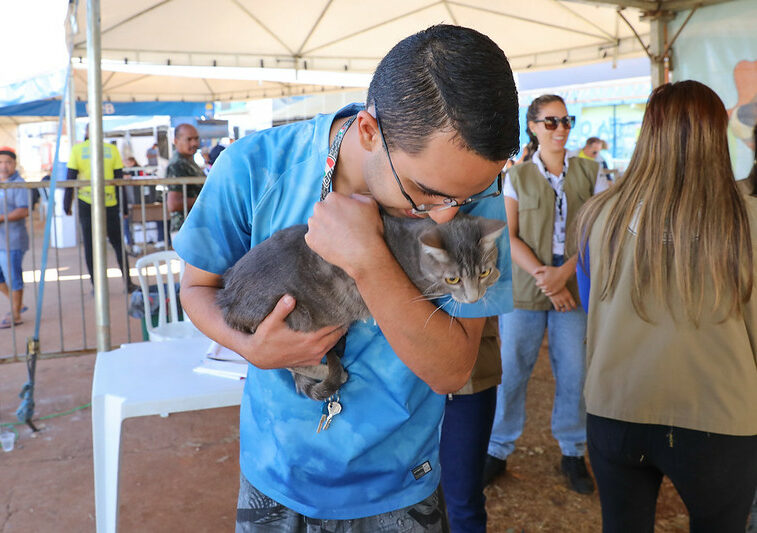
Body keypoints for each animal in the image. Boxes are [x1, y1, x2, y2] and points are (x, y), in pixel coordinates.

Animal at [216, 211, 504, 400]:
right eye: (453, 278)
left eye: (482, 271)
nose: (474, 297)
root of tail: (227, 298)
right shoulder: (420, 287)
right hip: (296, 321)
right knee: (286, 362)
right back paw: (332, 371)